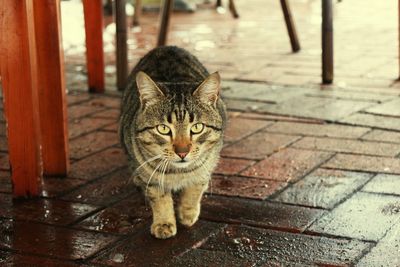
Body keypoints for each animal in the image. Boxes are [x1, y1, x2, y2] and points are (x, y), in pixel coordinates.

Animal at [119, 46, 227, 241]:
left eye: (197, 127)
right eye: (163, 129)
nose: (182, 152)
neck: (178, 173)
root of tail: (165, 47)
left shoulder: (209, 162)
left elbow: (196, 186)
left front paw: (187, 213)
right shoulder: (150, 175)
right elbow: (159, 197)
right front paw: (164, 223)